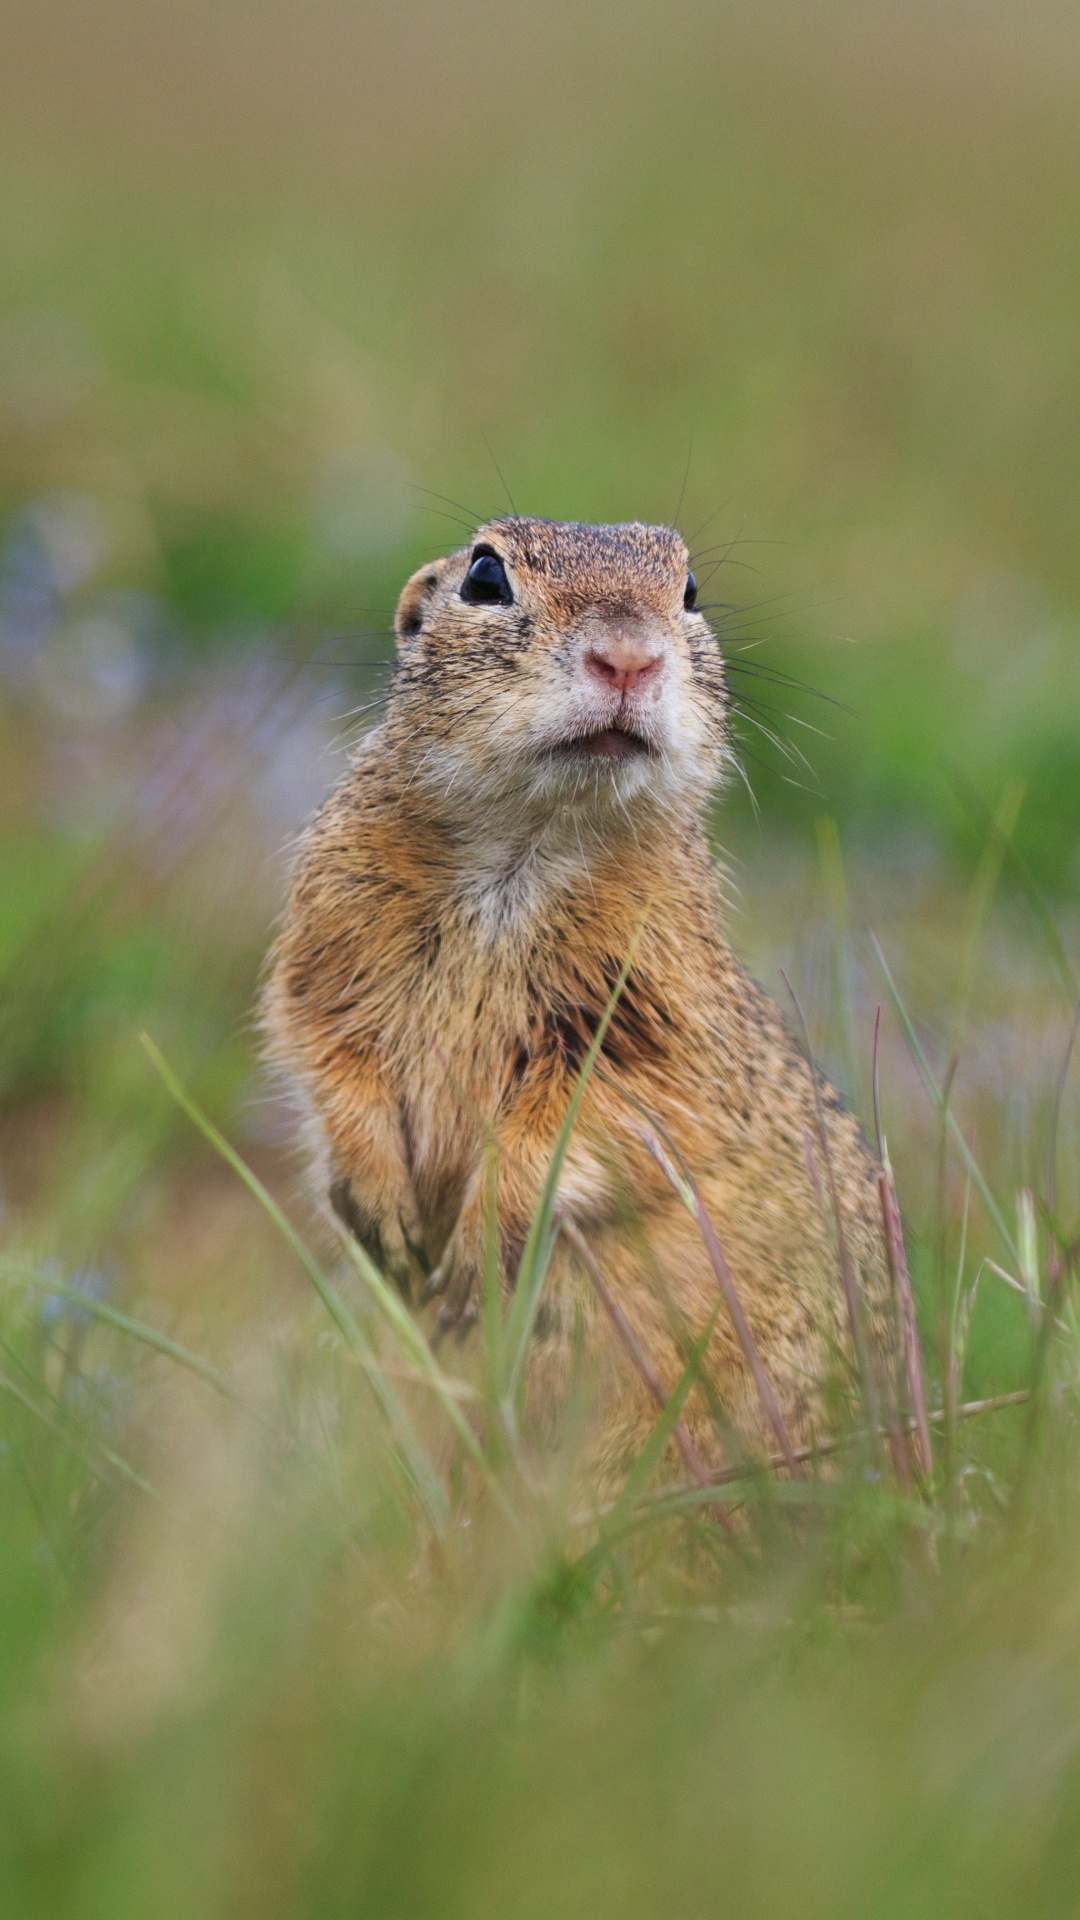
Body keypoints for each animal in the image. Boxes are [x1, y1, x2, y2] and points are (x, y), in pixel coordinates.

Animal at [263, 518, 891, 1474]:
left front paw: (474, 1256)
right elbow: (328, 1051)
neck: (529, 842)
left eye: (690, 590)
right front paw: (385, 1217)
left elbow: (601, 1116)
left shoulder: (659, 1015)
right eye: (485, 577)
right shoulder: (329, 941)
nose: (628, 657)